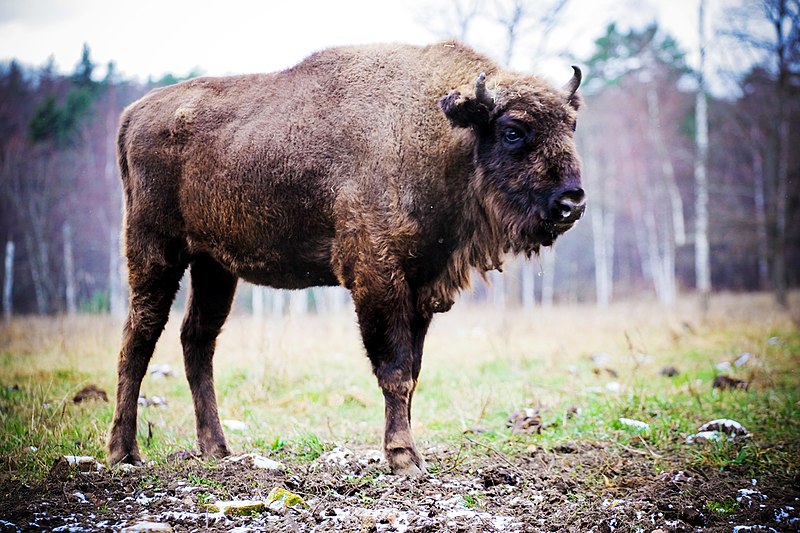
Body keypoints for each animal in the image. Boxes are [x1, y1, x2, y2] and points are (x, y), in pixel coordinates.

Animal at [109, 40, 584, 474]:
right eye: (513, 130)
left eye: (571, 126)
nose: (572, 202)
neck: (434, 131)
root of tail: (132, 114)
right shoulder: (377, 278)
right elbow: (394, 369)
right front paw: (403, 457)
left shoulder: (420, 285)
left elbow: (413, 372)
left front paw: (407, 452)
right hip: (155, 252)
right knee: (139, 338)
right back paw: (124, 453)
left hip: (214, 266)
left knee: (197, 339)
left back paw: (217, 450)